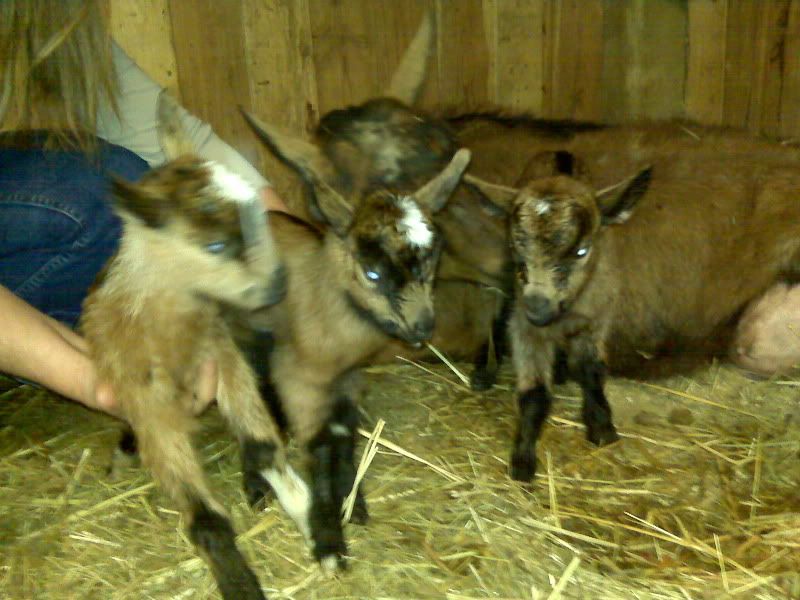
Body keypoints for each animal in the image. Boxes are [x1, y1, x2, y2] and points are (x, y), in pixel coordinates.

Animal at [80, 94, 302, 600]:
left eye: (254, 217)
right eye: (215, 245)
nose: (278, 282)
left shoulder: (221, 354)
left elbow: (262, 444)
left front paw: (290, 499)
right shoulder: (148, 402)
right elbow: (204, 521)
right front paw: (241, 584)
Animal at [238, 108, 471, 572]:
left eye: (432, 259)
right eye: (373, 272)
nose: (422, 328)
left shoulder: (347, 382)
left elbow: (343, 442)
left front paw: (353, 504)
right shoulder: (303, 384)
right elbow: (317, 452)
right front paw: (328, 542)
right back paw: (256, 486)